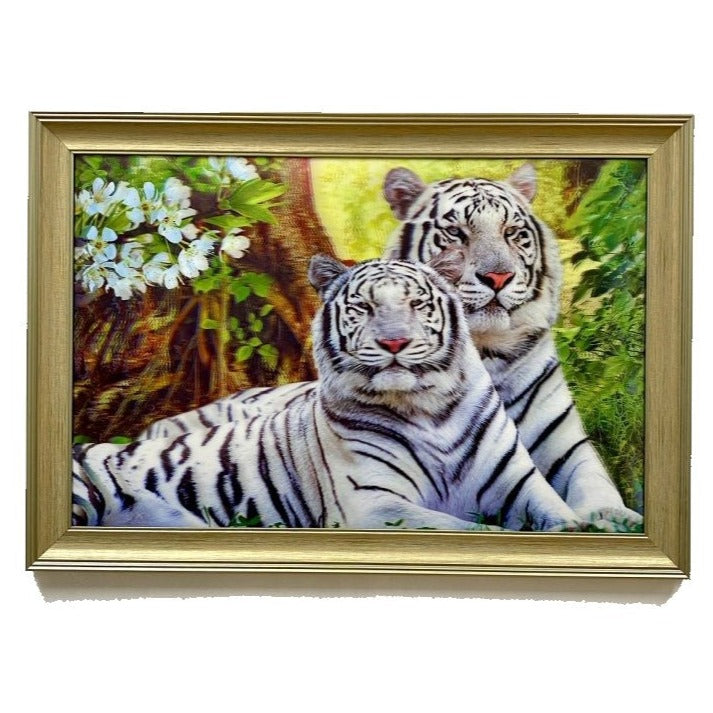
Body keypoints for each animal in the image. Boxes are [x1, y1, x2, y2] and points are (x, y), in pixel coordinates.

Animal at [73, 253, 585, 531]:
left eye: (417, 304)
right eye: (364, 307)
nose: (394, 343)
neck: (428, 409)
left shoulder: (520, 484)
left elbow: (560, 519)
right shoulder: (372, 504)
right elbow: (459, 527)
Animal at [140, 164, 641, 530]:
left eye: (512, 232)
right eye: (456, 233)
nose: (498, 277)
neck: (484, 354)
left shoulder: (566, 448)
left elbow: (596, 489)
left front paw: (616, 518)